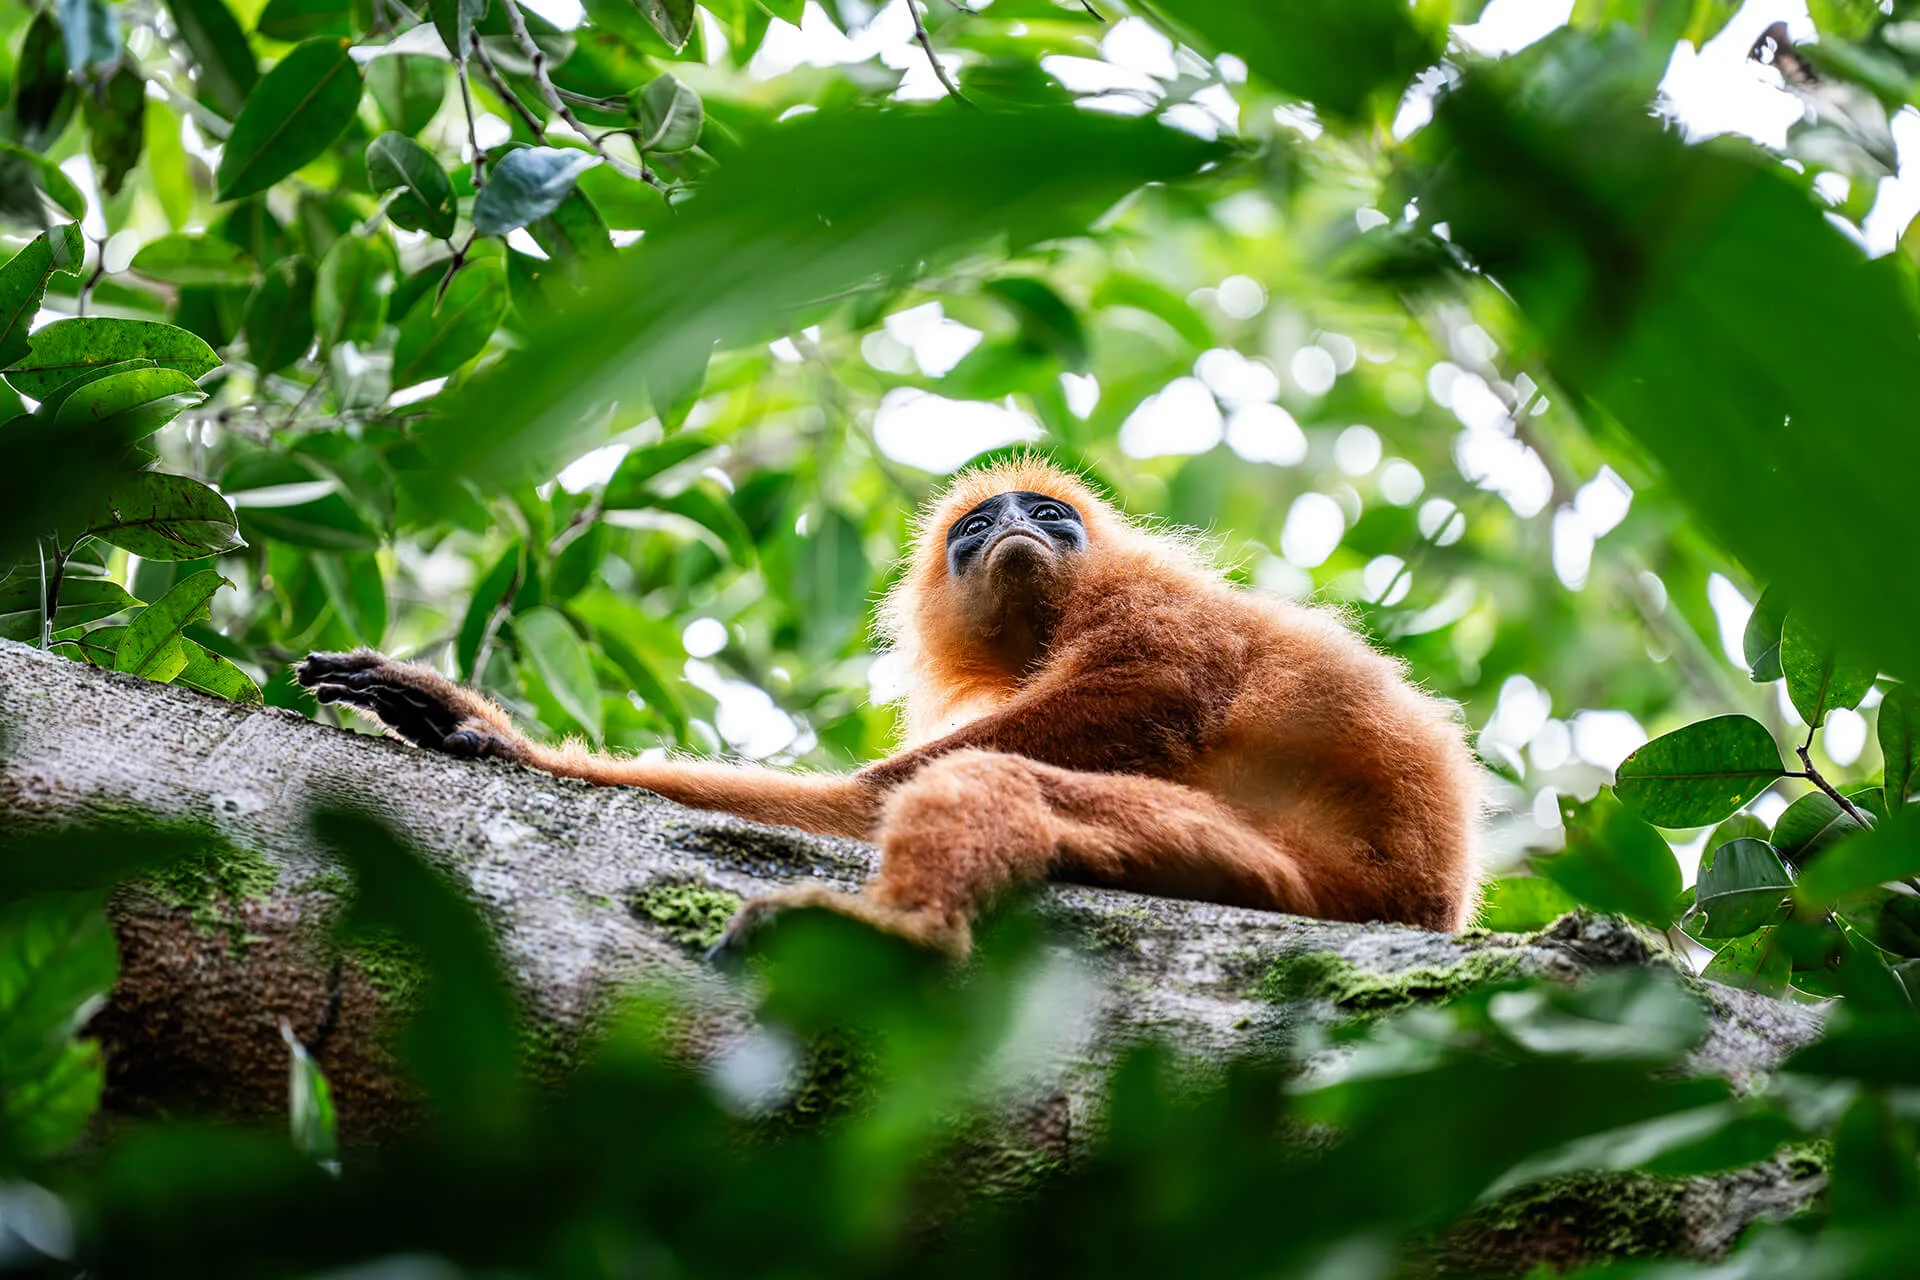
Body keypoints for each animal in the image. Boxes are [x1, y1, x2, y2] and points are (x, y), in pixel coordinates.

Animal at [297, 457, 1481, 958]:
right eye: (980, 526)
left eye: (1049, 513)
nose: (1020, 524)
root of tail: (1428, 901)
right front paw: (468, 726)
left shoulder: (1152, 614)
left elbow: (872, 794)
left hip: (1302, 885)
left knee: (982, 778)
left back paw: (907, 933)